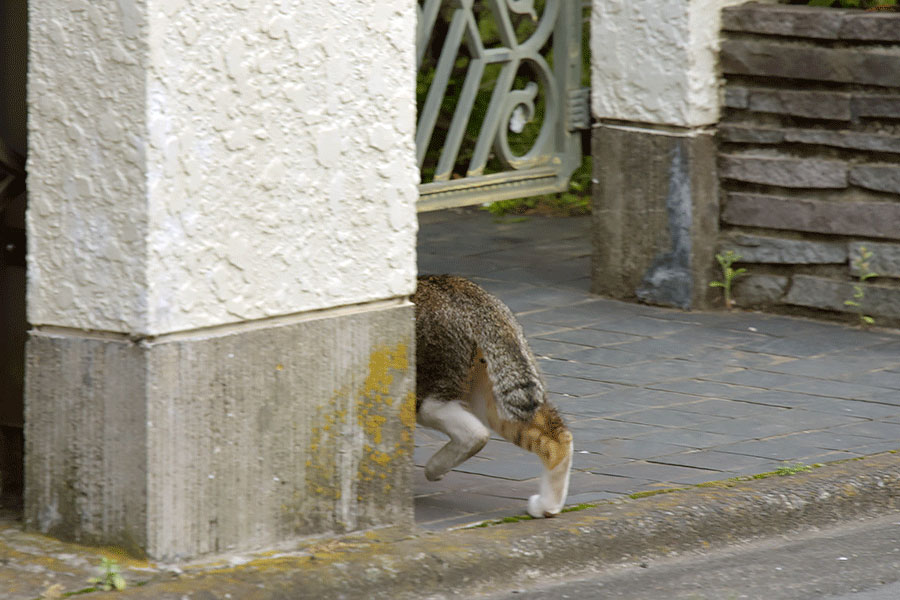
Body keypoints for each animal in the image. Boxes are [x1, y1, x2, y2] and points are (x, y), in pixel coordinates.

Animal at [414, 274, 572, 516]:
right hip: (497, 391)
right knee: (557, 439)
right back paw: (548, 506)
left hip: (428, 384)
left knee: (473, 432)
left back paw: (434, 468)